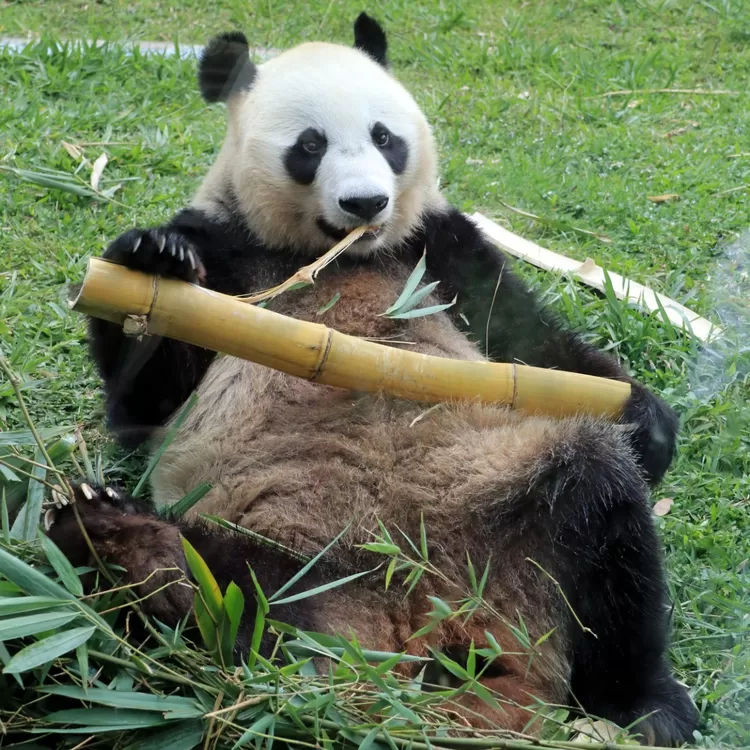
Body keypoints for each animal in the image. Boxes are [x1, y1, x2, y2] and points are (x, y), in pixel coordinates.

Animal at [50, 12, 698, 746]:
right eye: (309, 146)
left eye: (384, 137)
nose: (365, 203)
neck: (335, 256)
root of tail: (414, 626)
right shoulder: (228, 255)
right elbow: (145, 404)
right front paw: (154, 260)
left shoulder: (434, 246)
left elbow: (526, 338)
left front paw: (648, 423)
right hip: (283, 555)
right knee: (228, 609)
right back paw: (120, 541)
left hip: (513, 509)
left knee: (601, 509)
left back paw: (649, 705)